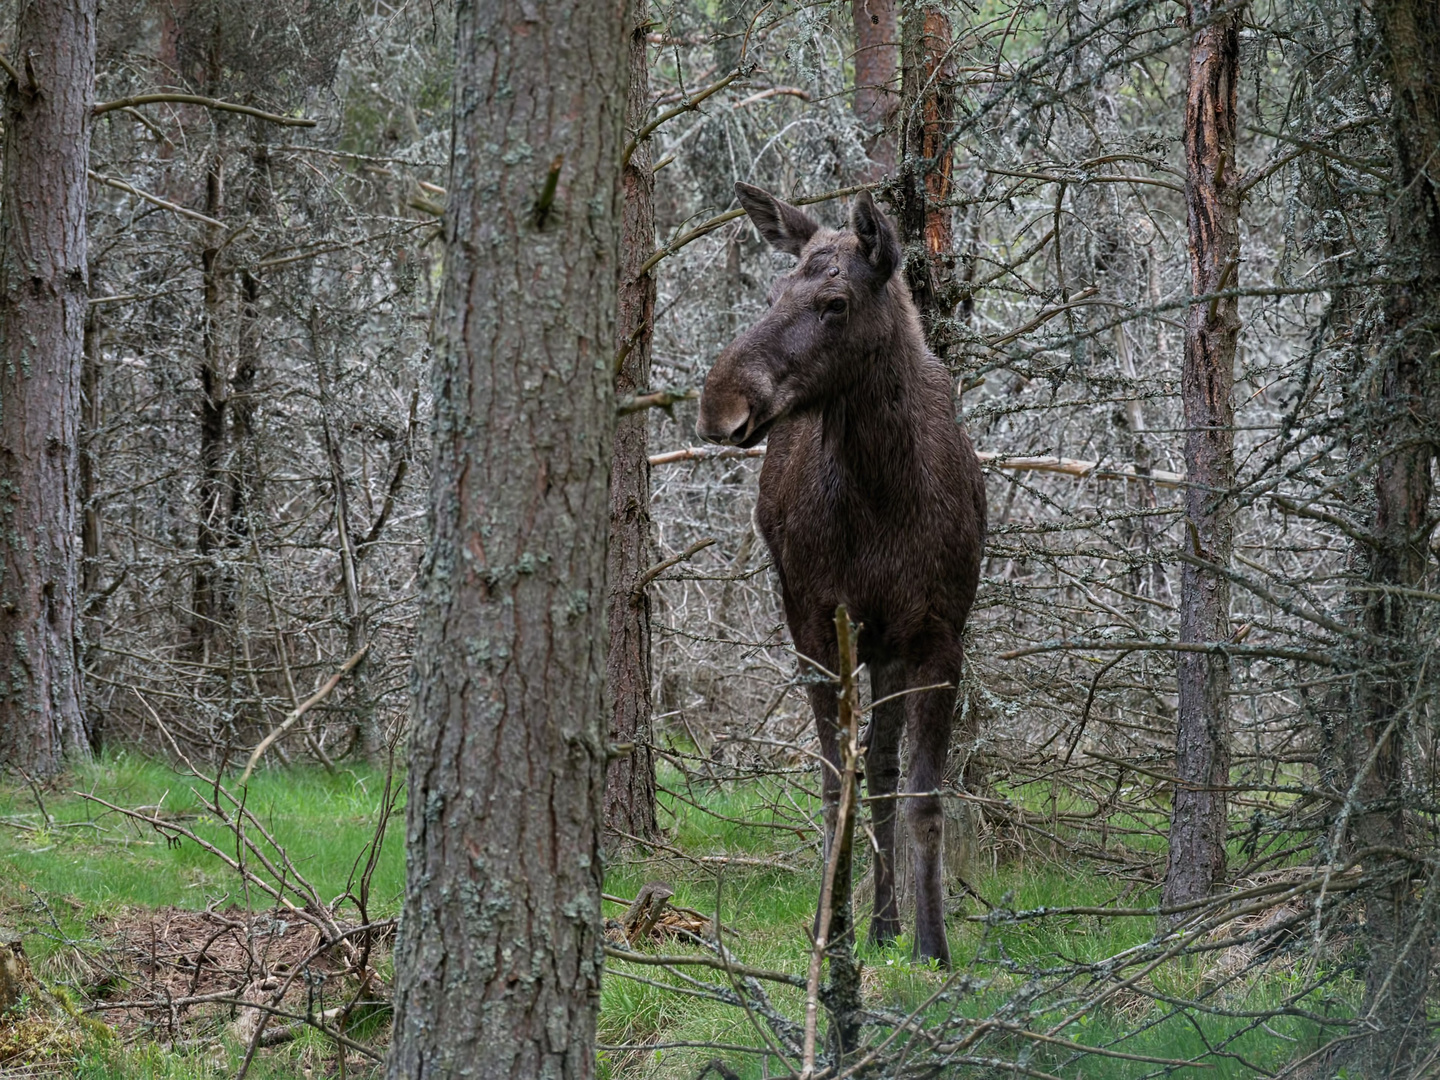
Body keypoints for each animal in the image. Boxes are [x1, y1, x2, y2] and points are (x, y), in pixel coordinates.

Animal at [696, 182, 990, 967]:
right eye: (773, 291)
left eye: (834, 302)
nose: (718, 404)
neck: (883, 490)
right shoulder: (813, 622)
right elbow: (835, 788)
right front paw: (836, 935)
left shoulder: (937, 631)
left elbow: (921, 796)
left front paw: (932, 944)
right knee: (864, 773)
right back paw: (872, 923)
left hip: (887, 643)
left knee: (884, 772)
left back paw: (891, 924)